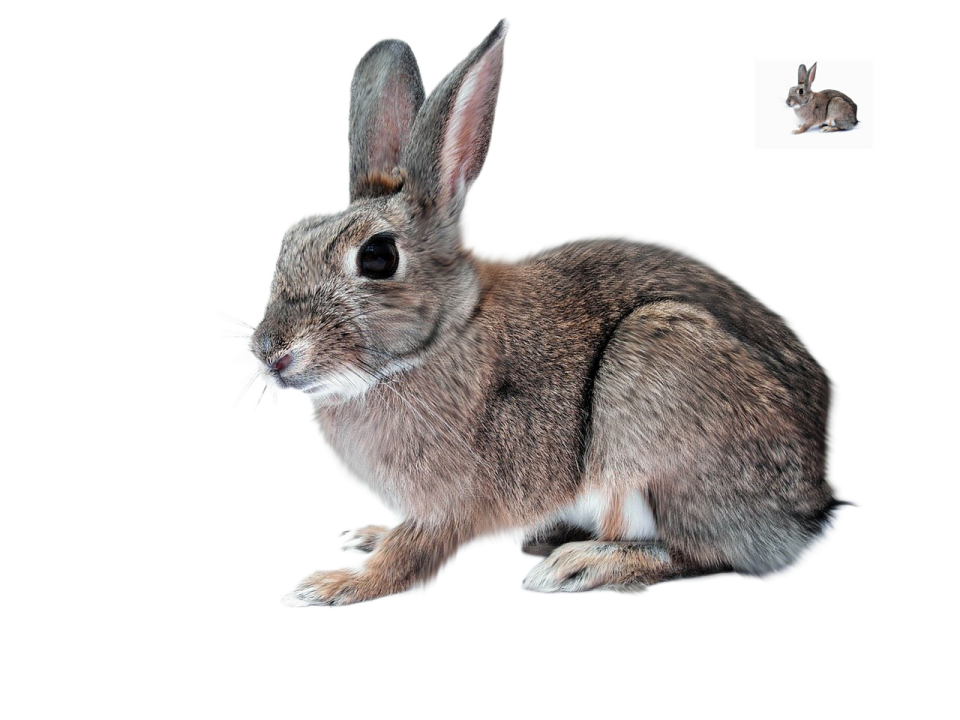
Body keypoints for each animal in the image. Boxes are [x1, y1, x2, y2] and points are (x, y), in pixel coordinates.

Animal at [218, 18, 859, 608]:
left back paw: (582, 565)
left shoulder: (449, 505)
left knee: (703, 552)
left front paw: (333, 583)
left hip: (658, 375)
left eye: (377, 257)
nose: (272, 353)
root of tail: (812, 505)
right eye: (290, 237)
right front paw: (365, 537)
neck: (440, 339)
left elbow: (412, 557)